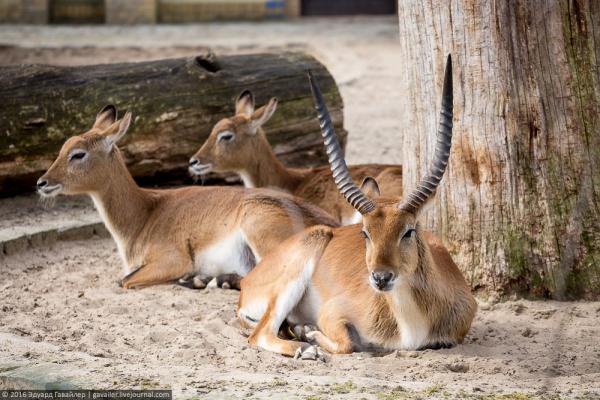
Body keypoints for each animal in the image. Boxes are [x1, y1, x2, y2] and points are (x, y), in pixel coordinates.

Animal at [36, 104, 338, 290]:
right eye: (63, 147)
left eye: (78, 154)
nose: (42, 183)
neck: (145, 213)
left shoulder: (171, 260)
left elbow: (124, 280)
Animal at [237, 54, 476, 358]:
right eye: (365, 232)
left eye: (409, 231)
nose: (381, 278)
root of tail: (247, 282)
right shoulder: (332, 313)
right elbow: (350, 344)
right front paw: (308, 333)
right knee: (259, 334)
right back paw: (304, 345)